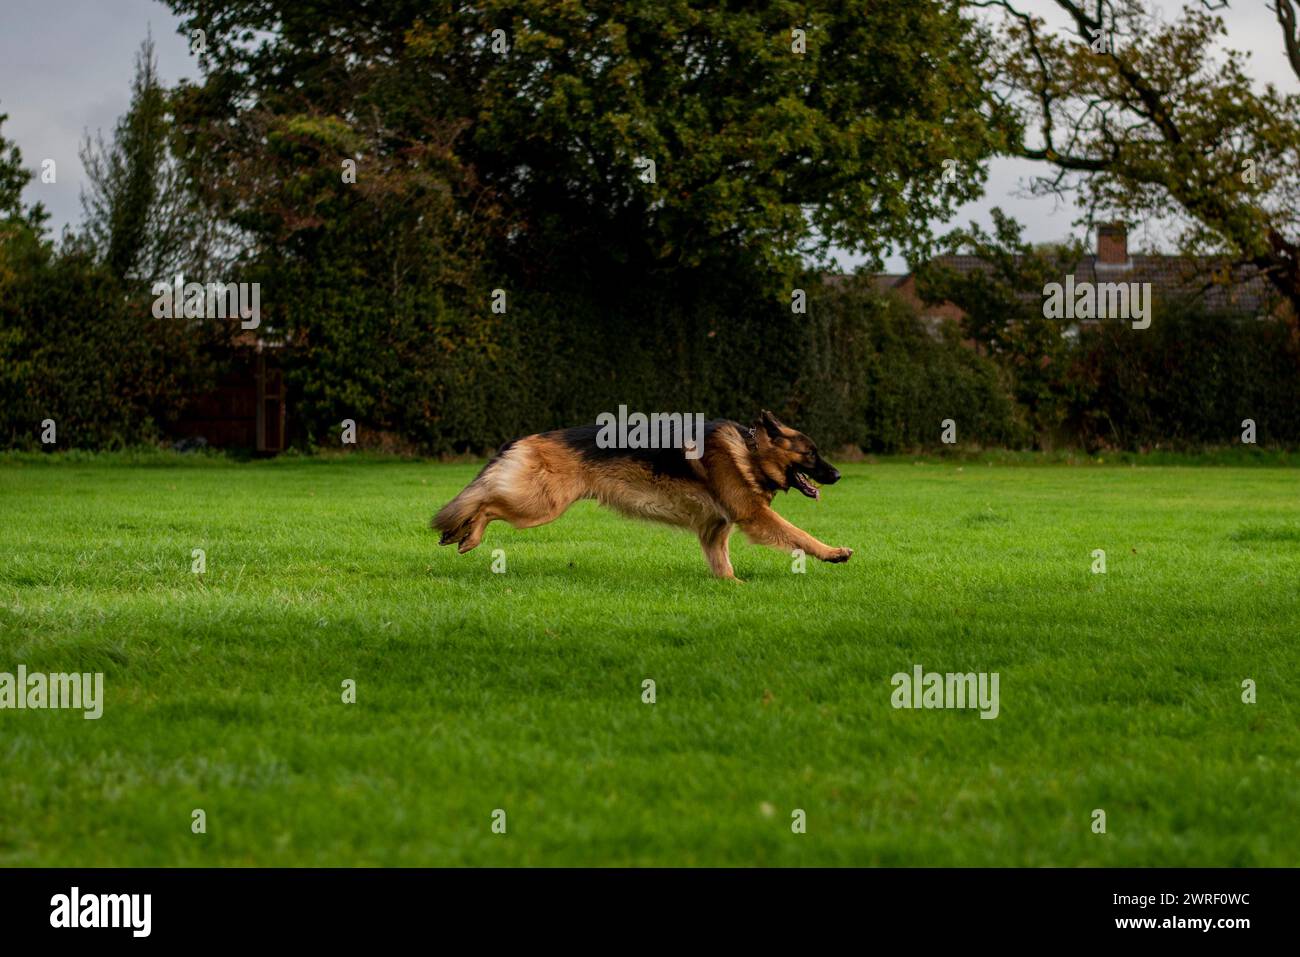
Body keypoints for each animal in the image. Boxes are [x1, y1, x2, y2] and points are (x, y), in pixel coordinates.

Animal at [431, 408, 847, 579]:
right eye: (812, 454)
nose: (838, 474)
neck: (749, 451)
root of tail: (528, 438)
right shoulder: (755, 516)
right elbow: (798, 534)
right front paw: (833, 552)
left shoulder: (714, 530)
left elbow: (722, 565)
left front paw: (733, 587)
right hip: (539, 505)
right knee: (486, 503)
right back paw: (467, 535)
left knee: (484, 499)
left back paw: (458, 533)